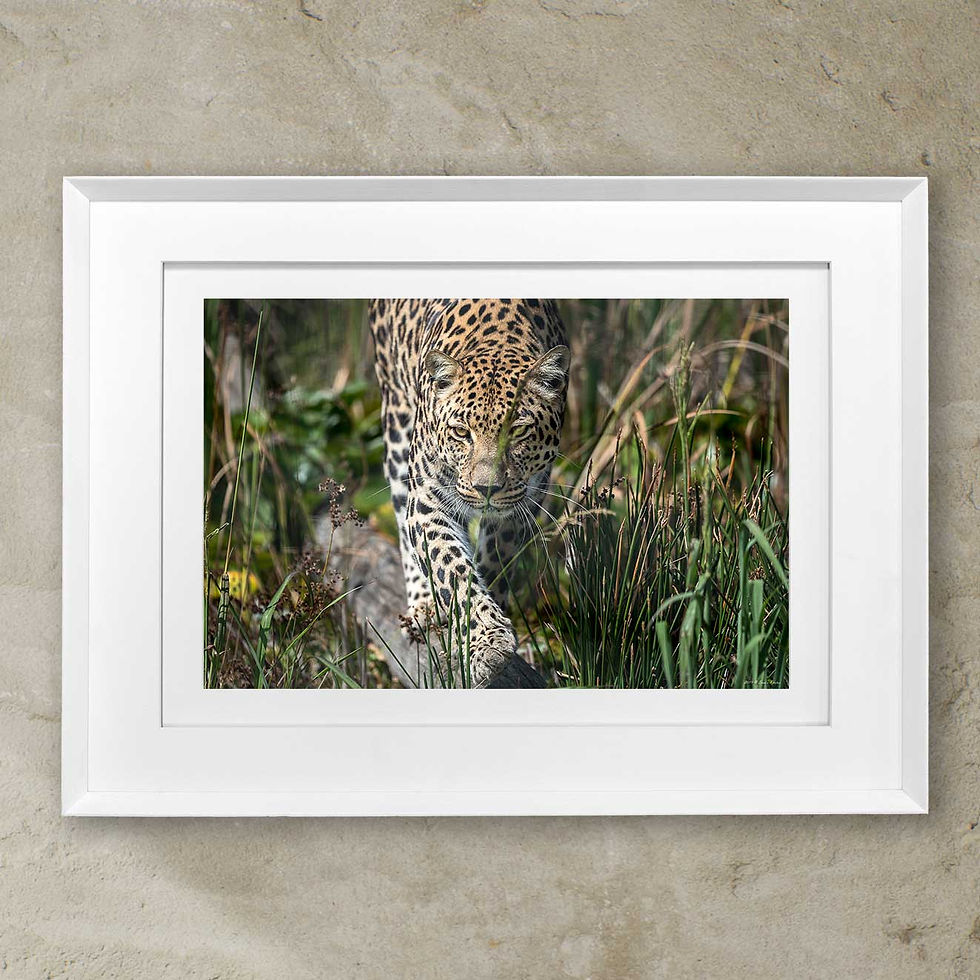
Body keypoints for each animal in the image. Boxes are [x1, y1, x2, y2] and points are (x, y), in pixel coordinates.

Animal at [368, 298, 569, 687]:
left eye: (518, 432)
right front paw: (487, 643)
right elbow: (453, 571)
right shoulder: (429, 499)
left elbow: (492, 565)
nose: (486, 489)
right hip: (395, 425)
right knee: (401, 515)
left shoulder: (520, 505)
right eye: (462, 432)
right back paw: (423, 605)